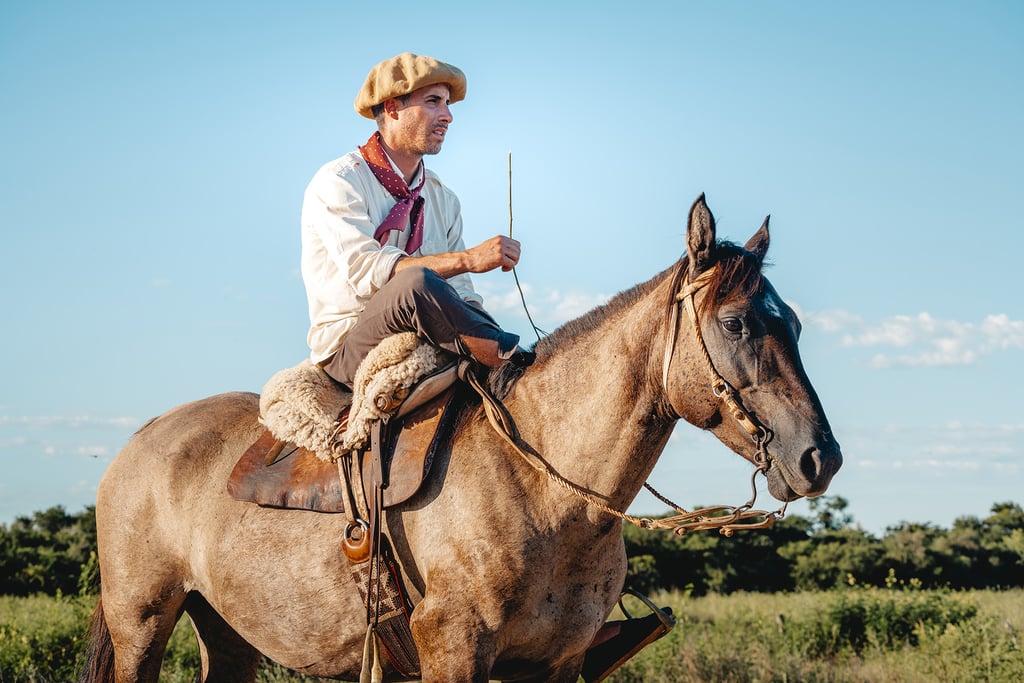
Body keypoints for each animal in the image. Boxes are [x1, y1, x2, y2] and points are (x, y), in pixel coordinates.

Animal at [80, 194, 842, 682]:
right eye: (737, 323)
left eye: (797, 324)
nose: (819, 458)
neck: (544, 489)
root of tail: (140, 440)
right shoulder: (453, 650)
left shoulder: (554, 665)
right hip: (141, 623)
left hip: (226, 631)